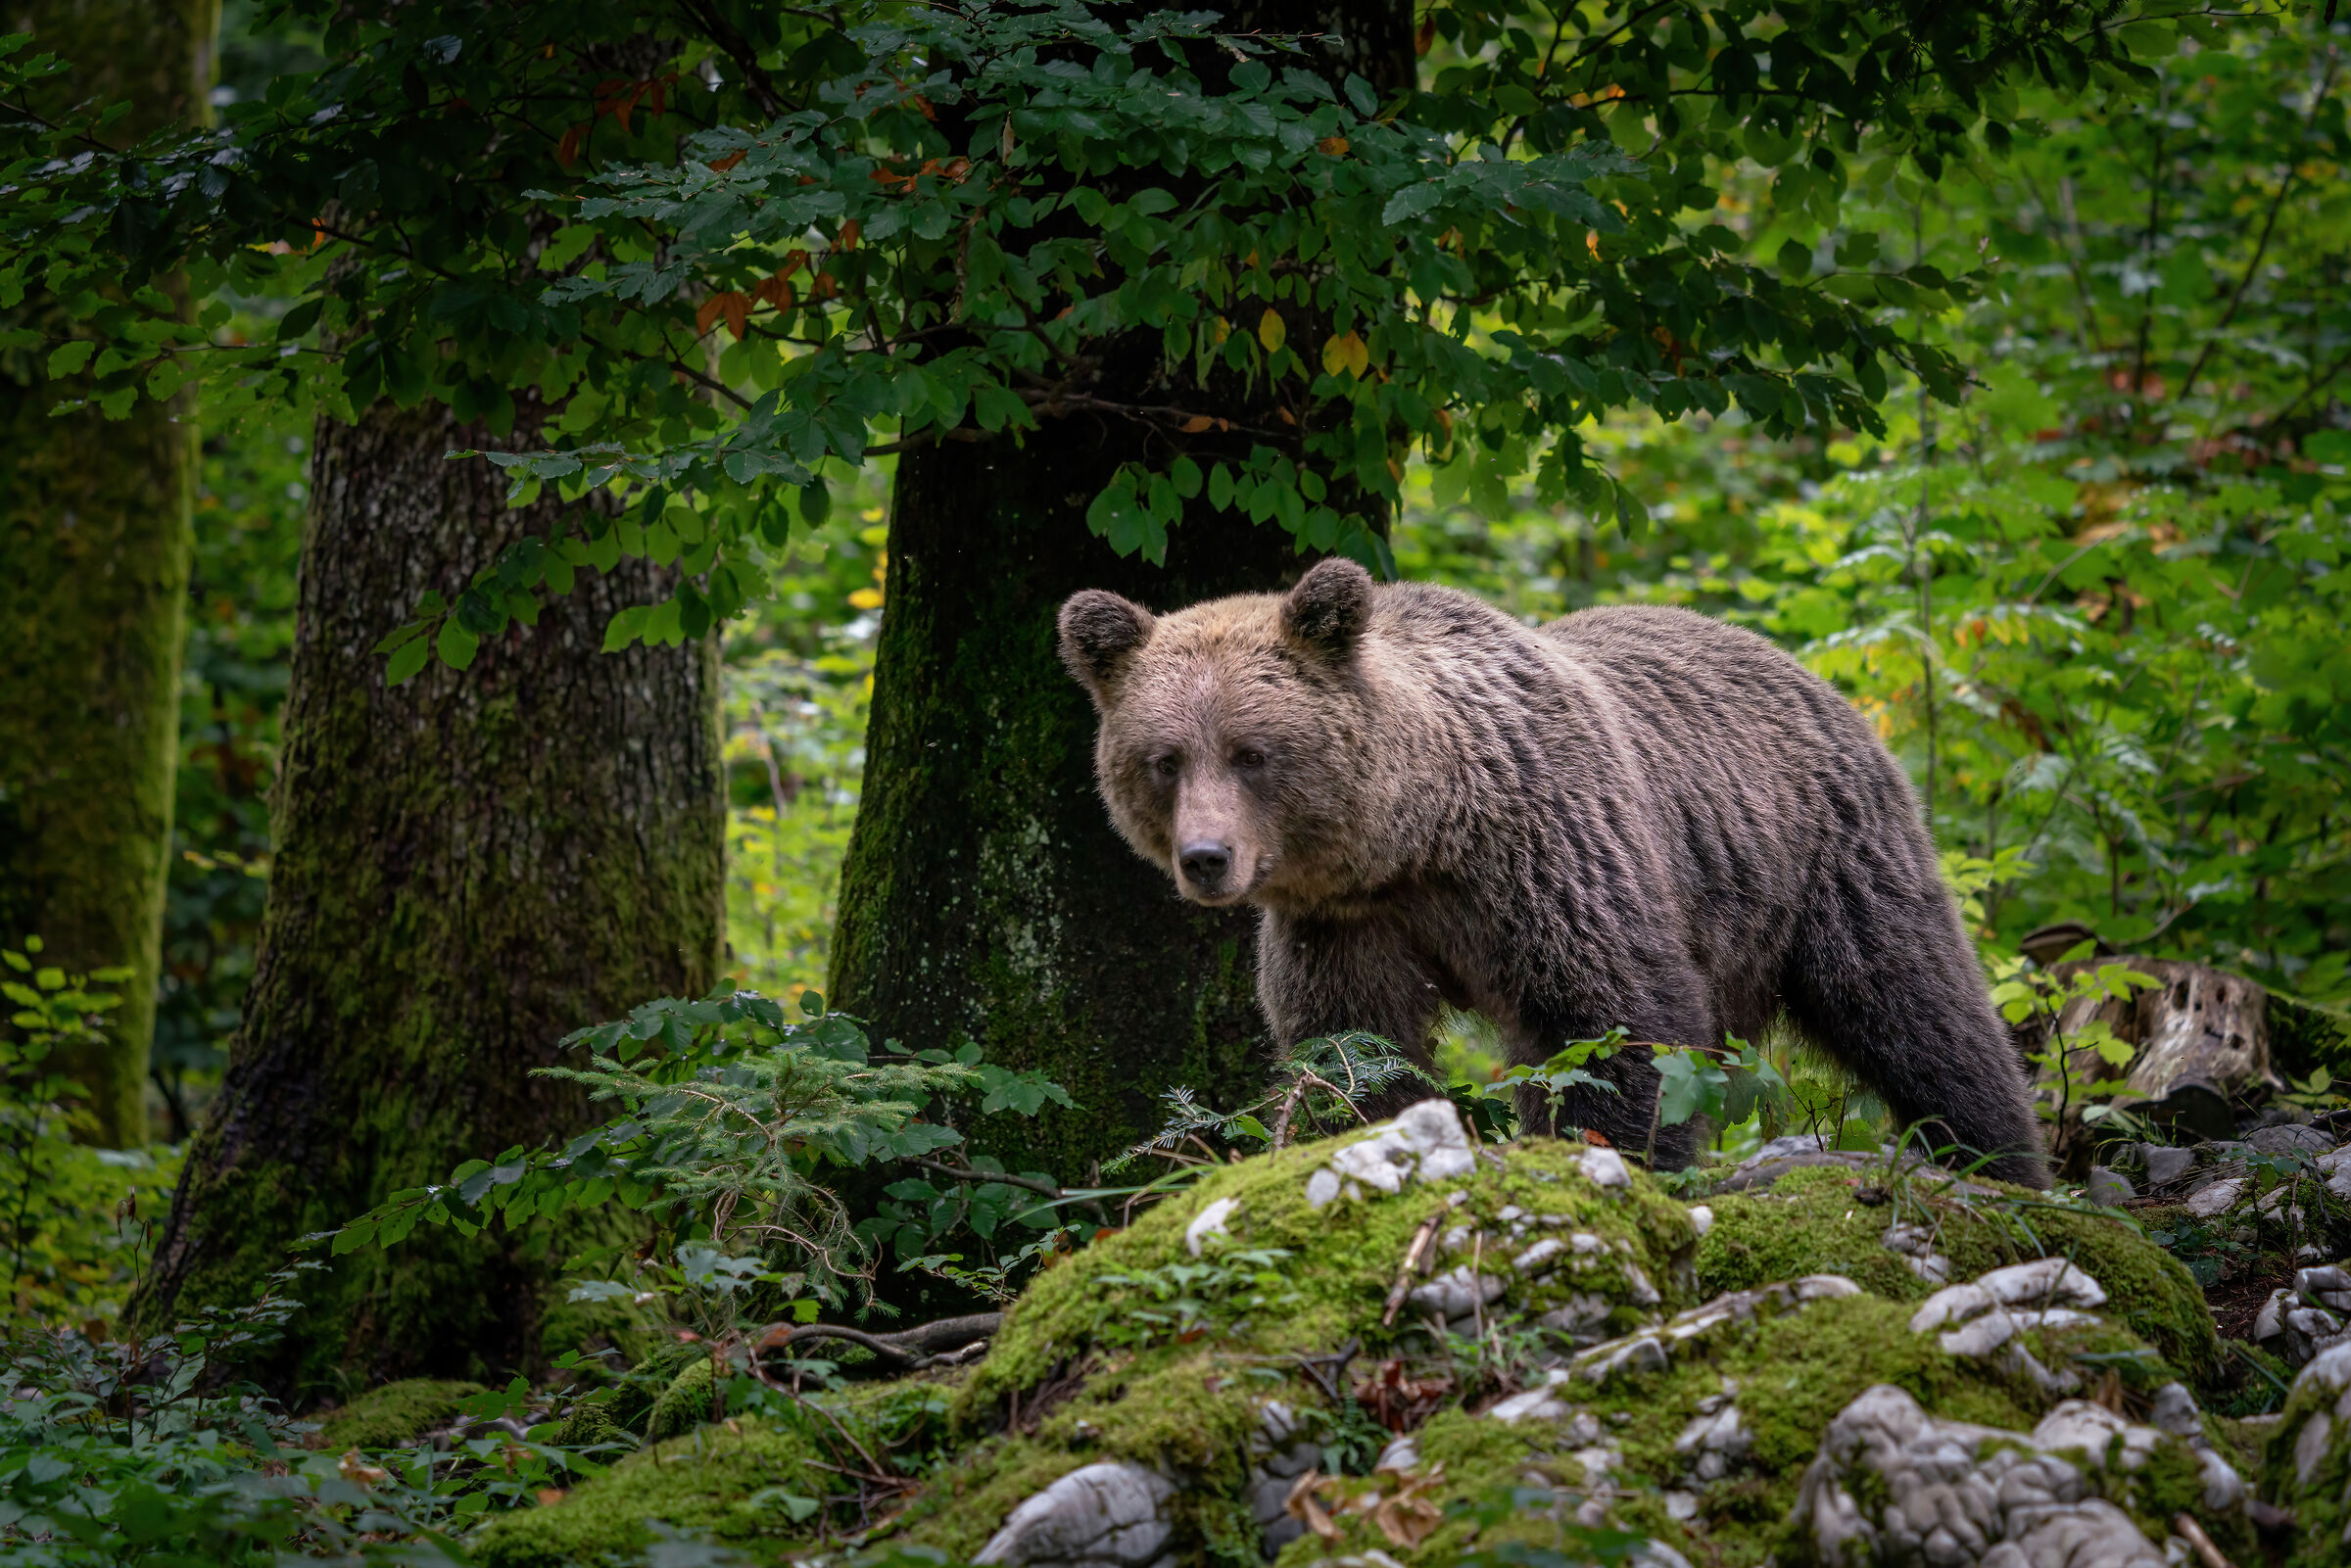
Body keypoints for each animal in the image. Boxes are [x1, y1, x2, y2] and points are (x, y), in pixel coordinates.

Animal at [1056, 556, 2048, 1188]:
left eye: (1252, 751)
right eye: (1165, 759)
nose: (1207, 858)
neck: (1417, 834)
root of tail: (1802, 666)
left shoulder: (1549, 857)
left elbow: (1612, 1028)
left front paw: (1615, 1158)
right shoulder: (1346, 924)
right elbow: (1356, 1051)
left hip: (1828, 856)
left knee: (1918, 1006)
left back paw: (2003, 1159)